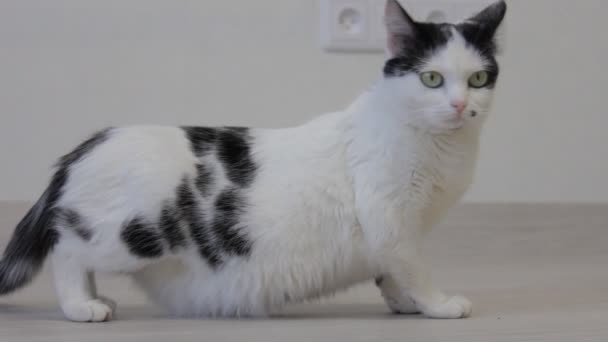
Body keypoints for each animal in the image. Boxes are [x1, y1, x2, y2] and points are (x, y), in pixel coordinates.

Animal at [0, 0, 504, 322]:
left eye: (479, 79)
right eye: (431, 78)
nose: (460, 105)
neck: (442, 147)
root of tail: (87, 146)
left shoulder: (393, 233)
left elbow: (392, 269)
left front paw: (403, 302)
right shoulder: (391, 217)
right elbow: (414, 266)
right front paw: (437, 304)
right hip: (134, 232)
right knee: (66, 251)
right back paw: (81, 306)